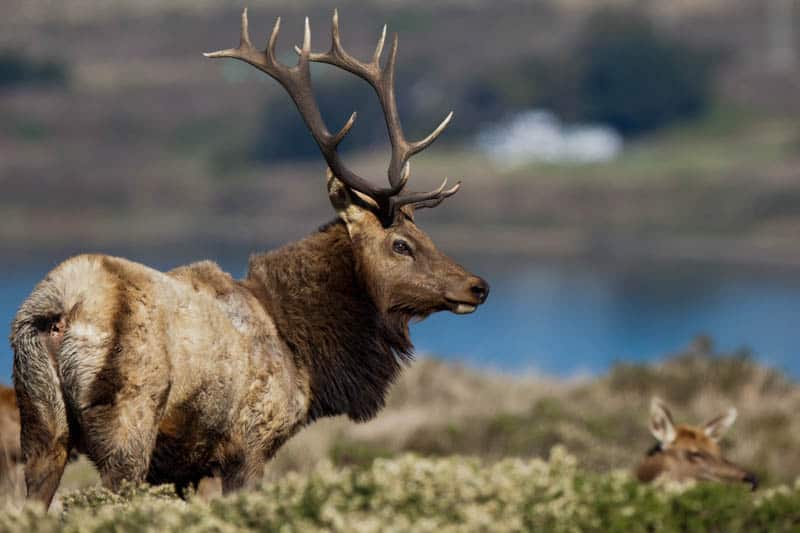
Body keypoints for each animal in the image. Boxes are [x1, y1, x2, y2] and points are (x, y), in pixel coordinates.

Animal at [10, 9, 488, 508]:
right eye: (401, 244)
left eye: (423, 233)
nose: (478, 286)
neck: (305, 354)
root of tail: (56, 309)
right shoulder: (250, 442)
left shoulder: (183, 469)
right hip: (127, 425)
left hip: (40, 428)